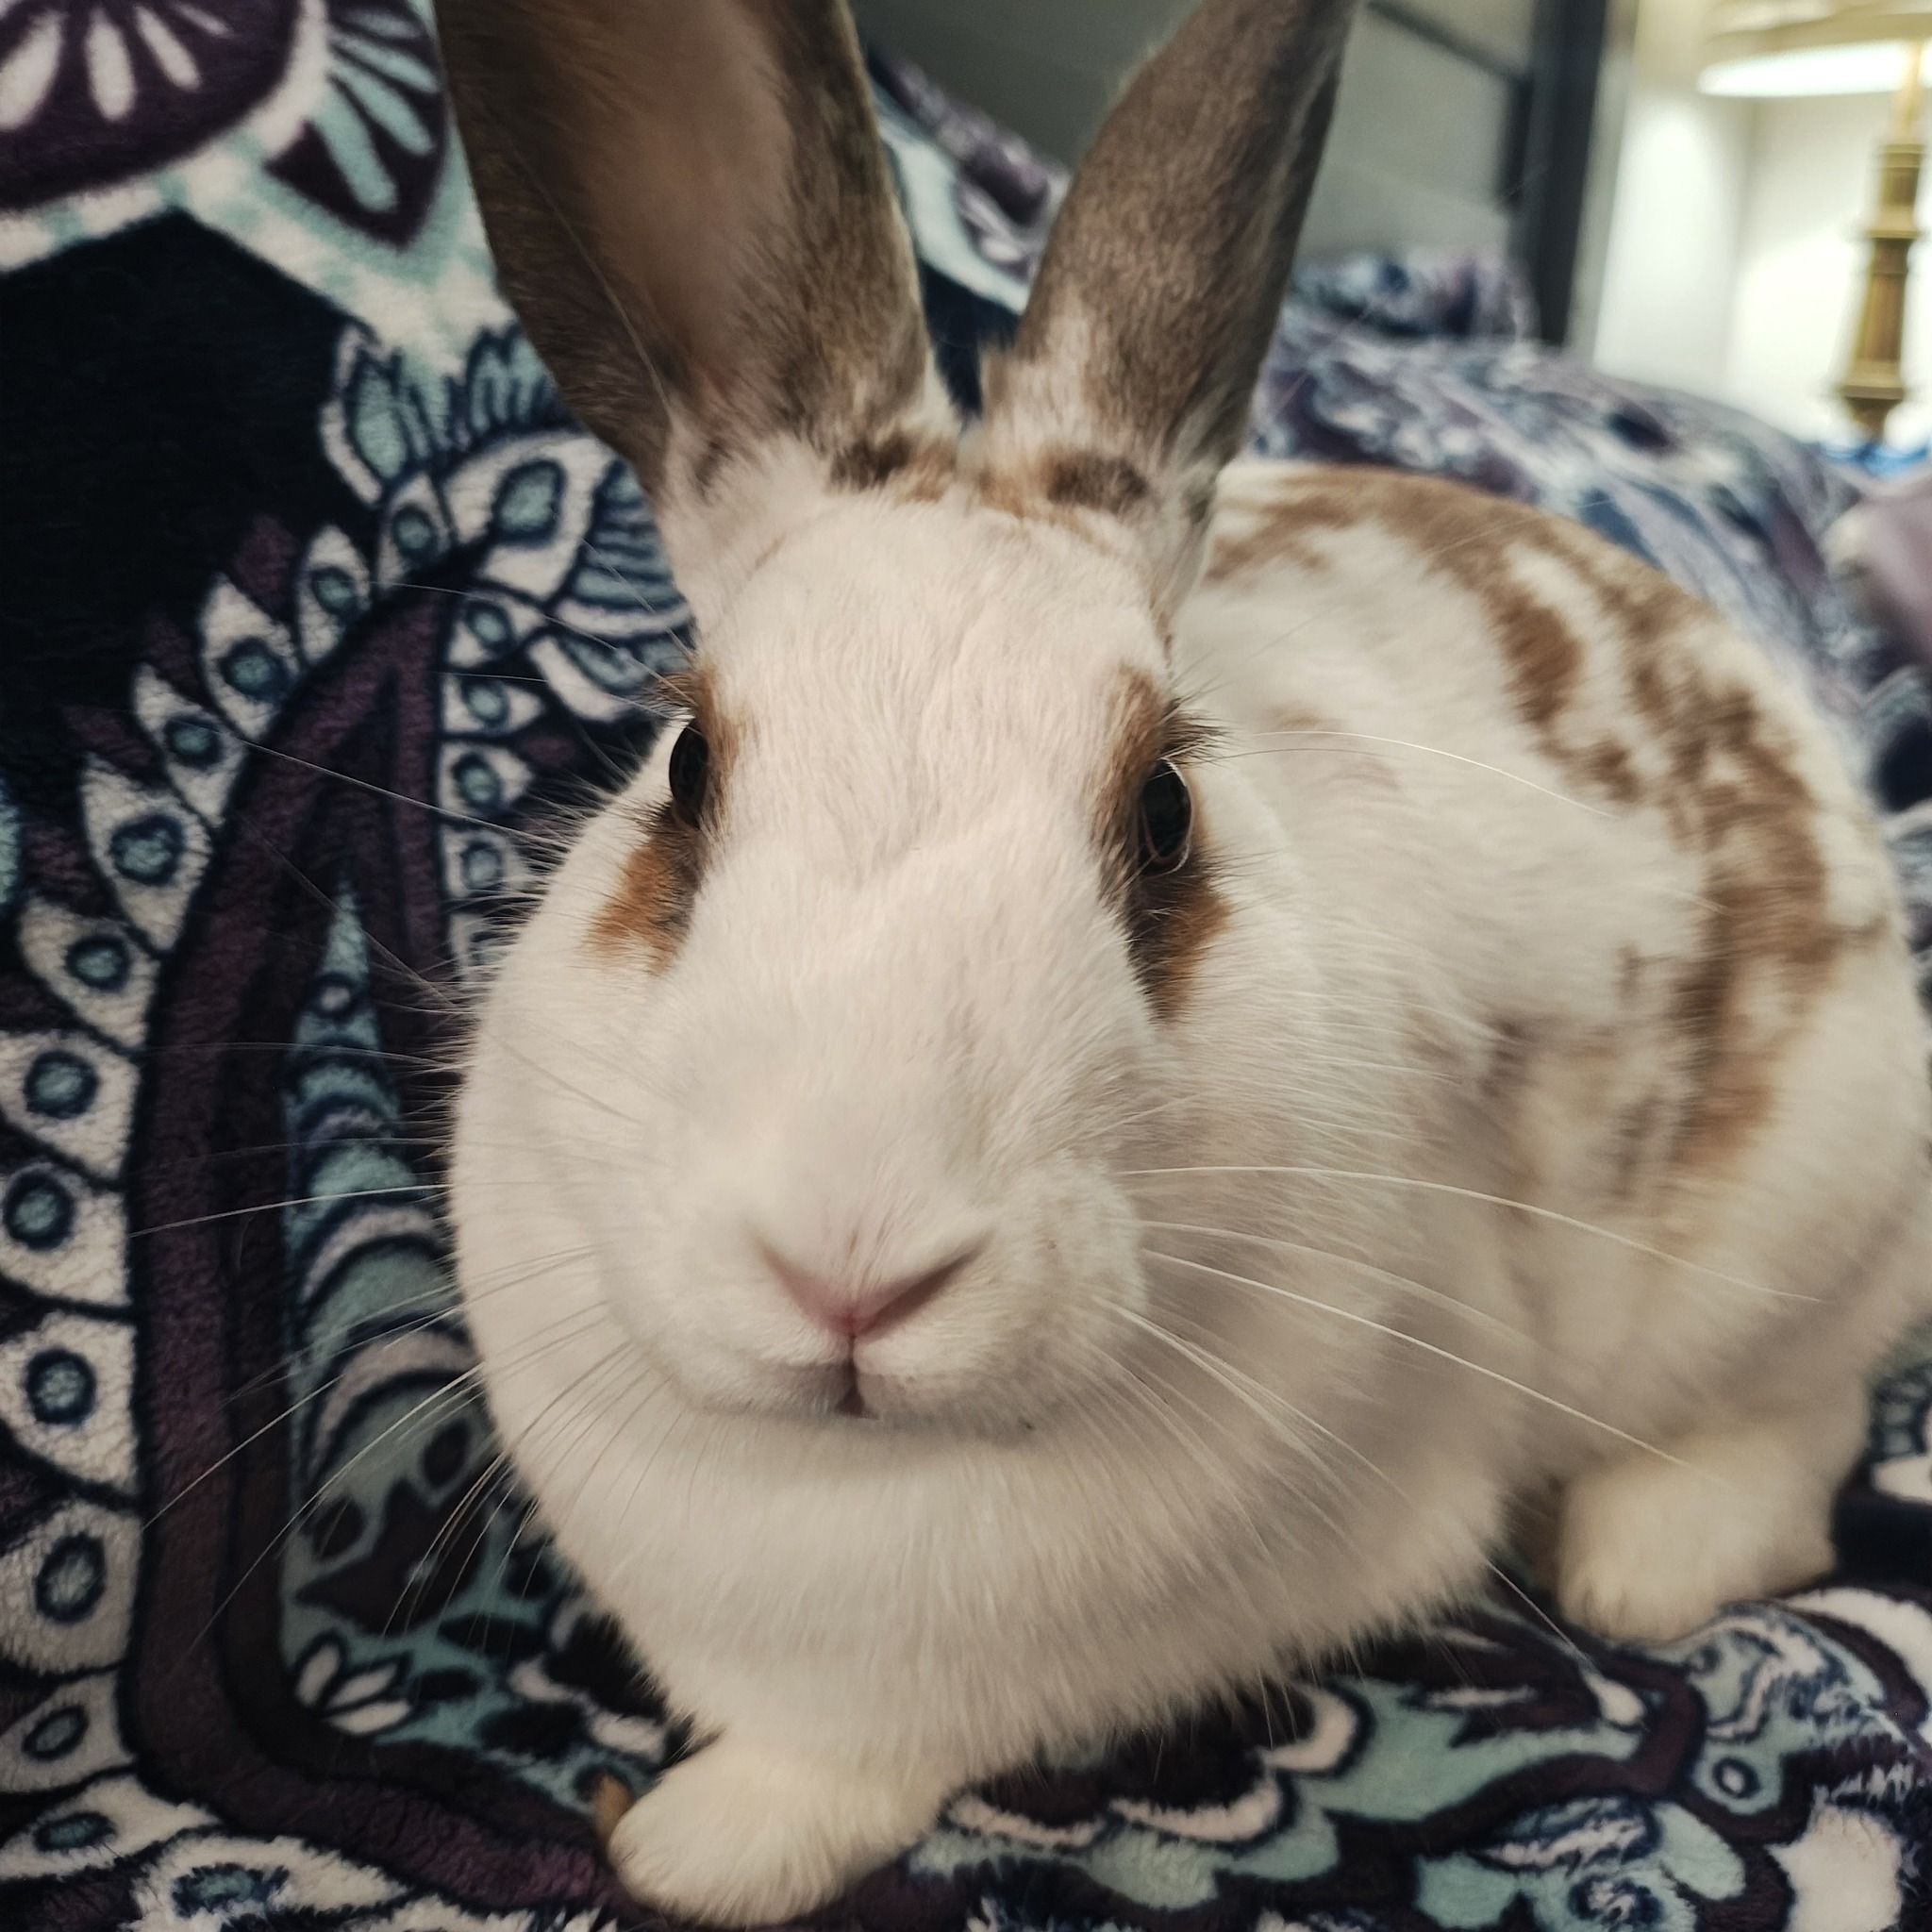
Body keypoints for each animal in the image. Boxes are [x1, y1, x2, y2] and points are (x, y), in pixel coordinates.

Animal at [437, 0, 1932, 1920]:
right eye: (685, 773)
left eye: (1162, 813)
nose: (851, 1273)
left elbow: (839, 1777)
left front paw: (696, 1853)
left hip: (1805, 1246)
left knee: (1792, 1429)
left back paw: (1634, 1561)